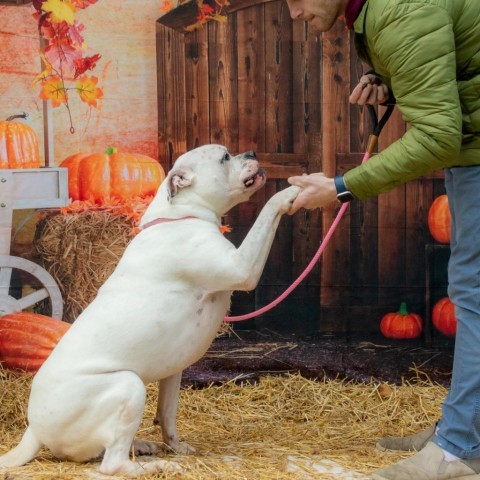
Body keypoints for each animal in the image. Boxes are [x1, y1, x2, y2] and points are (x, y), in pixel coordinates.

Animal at [0, 143, 298, 476]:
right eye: (224, 157)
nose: (250, 153)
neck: (179, 216)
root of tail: (34, 430)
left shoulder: (174, 371)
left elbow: (167, 414)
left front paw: (176, 446)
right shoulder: (242, 267)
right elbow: (268, 211)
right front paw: (291, 192)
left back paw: (143, 446)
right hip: (128, 385)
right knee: (111, 464)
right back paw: (154, 466)